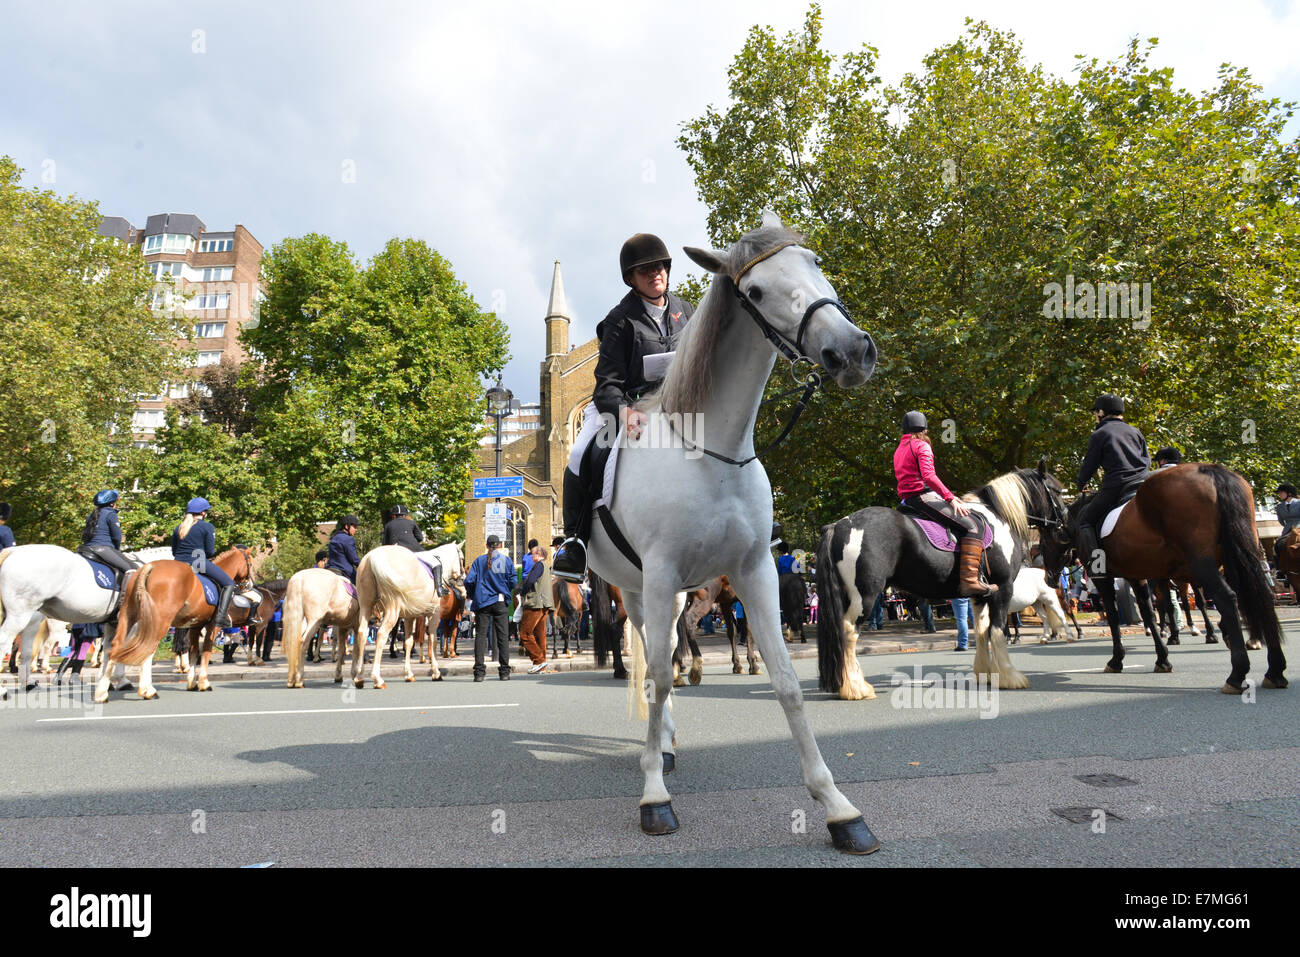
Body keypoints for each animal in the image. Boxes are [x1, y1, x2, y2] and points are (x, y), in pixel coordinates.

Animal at [590, 213, 883, 858]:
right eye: (754, 291)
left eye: (815, 260)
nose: (851, 351)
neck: (711, 453)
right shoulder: (662, 575)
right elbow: (658, 676)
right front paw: (654, 799)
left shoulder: (753, 574)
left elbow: (787, 684)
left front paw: (839, 808)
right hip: (638, 589)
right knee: (652, 658)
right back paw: (657, 752)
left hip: (674, 594)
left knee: (664, 650)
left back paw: (665, 743)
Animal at [816, 465, 1071, 696]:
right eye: (1056, 490)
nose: (1066, 519)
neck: (1000, 518)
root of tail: (839, 525)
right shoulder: (1003, 588)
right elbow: (997, 631)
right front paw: (1009, 677)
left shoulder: (980, 595)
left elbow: (981, 631)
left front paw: (985, 674)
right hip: (865, 596)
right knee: (849, 633)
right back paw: (856, 688)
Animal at [1071, 460, 1284, 691]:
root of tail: (1209, 470)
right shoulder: (1139, 576)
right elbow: (1149, 612)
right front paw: (1162, 657)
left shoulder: (1106, 579)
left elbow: (1116, 614)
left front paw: (1117, 659)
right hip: (1237, 557)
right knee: (1258, 595)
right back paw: (1272, 668)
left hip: (1202, 563)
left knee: (1226, 598)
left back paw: (1236, 672)